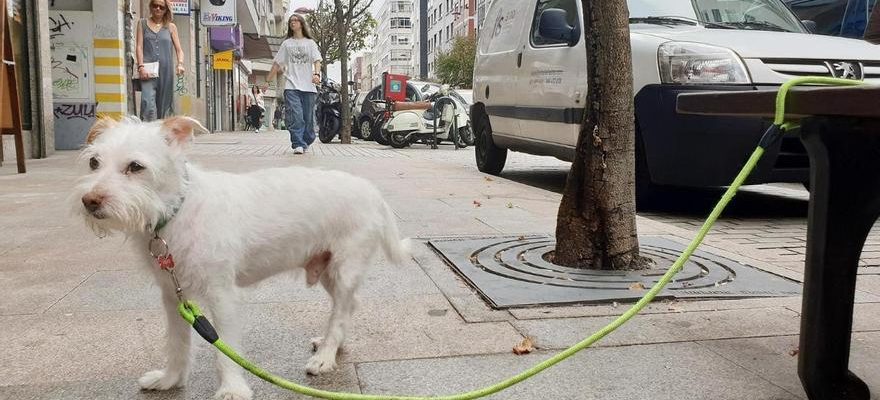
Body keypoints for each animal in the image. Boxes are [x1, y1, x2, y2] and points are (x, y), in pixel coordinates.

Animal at [71, 115, 410, 396]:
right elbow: (177, 344)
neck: (178, 208)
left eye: (136, 167)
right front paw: (170, 379)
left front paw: (232, 389)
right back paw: (333, 345)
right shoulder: (173, 296)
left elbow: (225, 348)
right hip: (327, 269)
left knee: (341, 310)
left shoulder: (221, 294)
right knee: (350, 303)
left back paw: (325, 356)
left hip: (344, 267)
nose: (90, 201)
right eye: (94, 163)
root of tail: (372, 192)